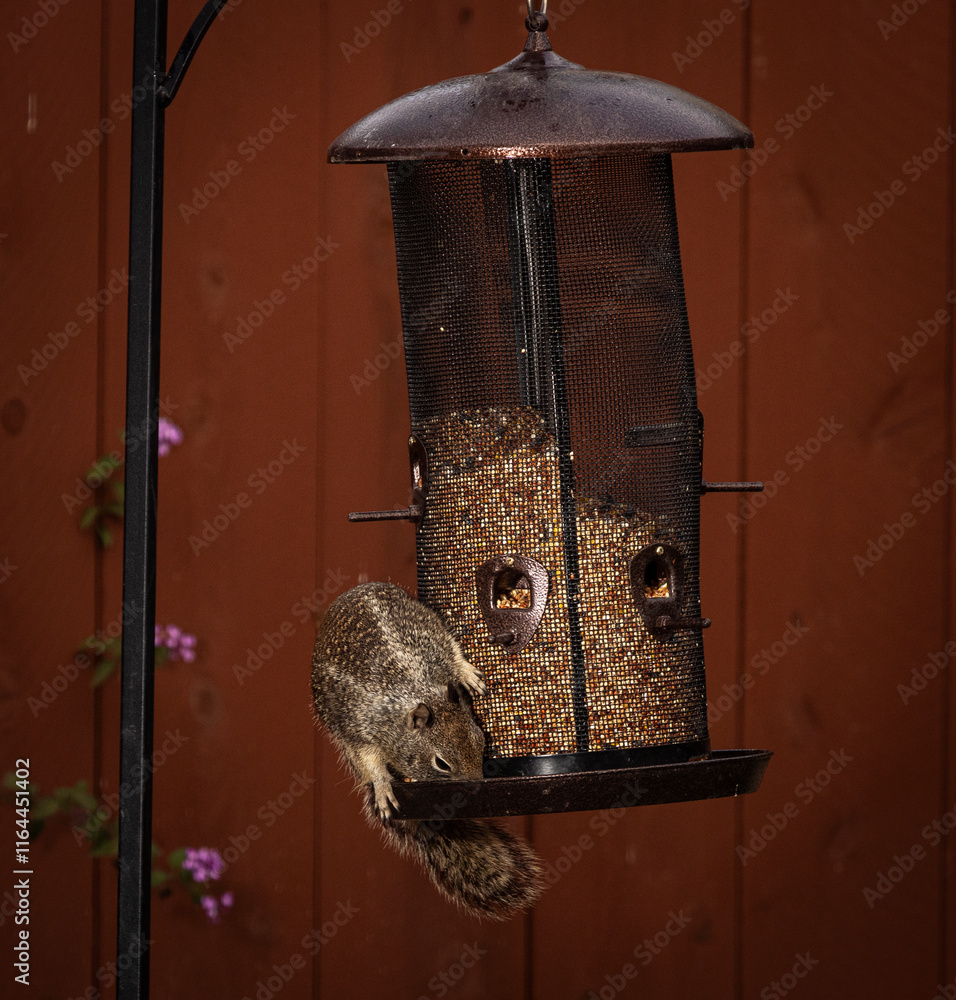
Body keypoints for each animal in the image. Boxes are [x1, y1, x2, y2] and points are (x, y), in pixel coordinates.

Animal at [310, 581, 543, 921]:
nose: (478, 787)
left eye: (481, 740)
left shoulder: (436, 646)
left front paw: (466, 674)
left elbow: (452, 654)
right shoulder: (360, 730)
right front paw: (383, 787)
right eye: (441, 764)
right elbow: (371, 763)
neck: (414, 695)